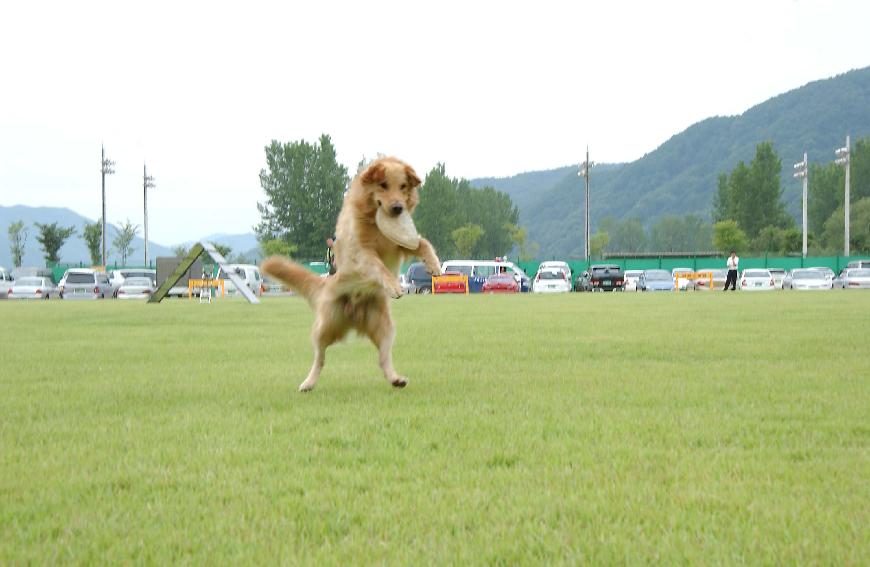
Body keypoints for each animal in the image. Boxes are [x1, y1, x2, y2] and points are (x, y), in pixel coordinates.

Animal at [260, 158, 440, 392]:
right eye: (383, 185)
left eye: (403, 187)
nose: (398, 208)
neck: (375, 224)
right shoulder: (361, 252)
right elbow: (378, 265)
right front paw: (393, 285)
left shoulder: (401, 244)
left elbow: (423, 243)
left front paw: (434, 265)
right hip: (324, 327)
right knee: (320, 358)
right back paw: (308, 383)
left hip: (385, 326)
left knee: (383, 357)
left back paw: (396, 379)